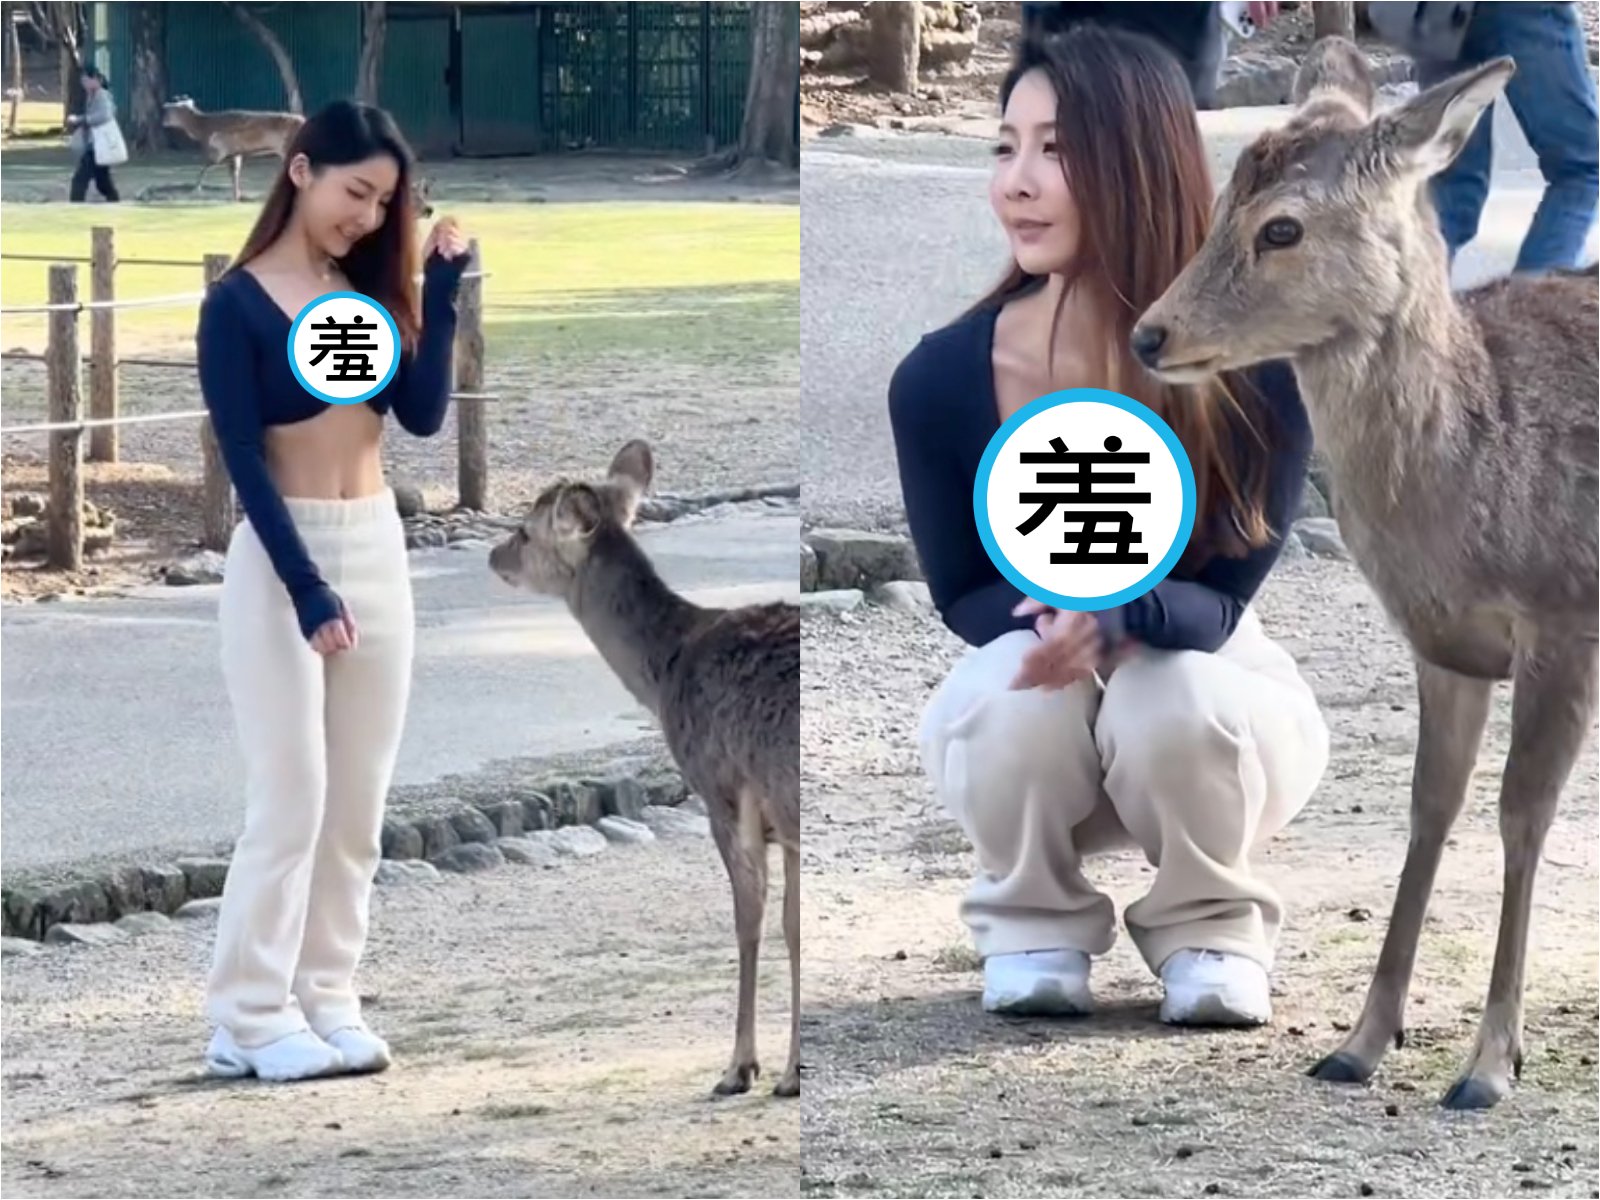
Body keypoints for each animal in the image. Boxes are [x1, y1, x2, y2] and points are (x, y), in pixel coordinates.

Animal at [161, 96, 303, 202]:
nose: (163, 122)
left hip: (287, 148)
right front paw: (238, 197)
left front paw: (196, 188)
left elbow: (204, 168)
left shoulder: (219, 152)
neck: (202, 130)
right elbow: (235, 173)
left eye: (169, 110)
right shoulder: (235, 154)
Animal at [488, 440, 801, 1100]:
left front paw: (744, 1068)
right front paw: (785, 1067)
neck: (667, 670)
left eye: (526, 531)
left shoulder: (724, 791)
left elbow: (752, 918)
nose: (494, 553)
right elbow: (790, 921)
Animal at [1130, 37, 1598, 1111]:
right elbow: (1429, 811)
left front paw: (1489, 1065)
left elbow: (1522, 814)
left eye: (1282, 226)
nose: (1149, 334)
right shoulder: (1445, 645)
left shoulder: (1564, 613)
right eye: (1220, 200)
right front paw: (1359, 1043)